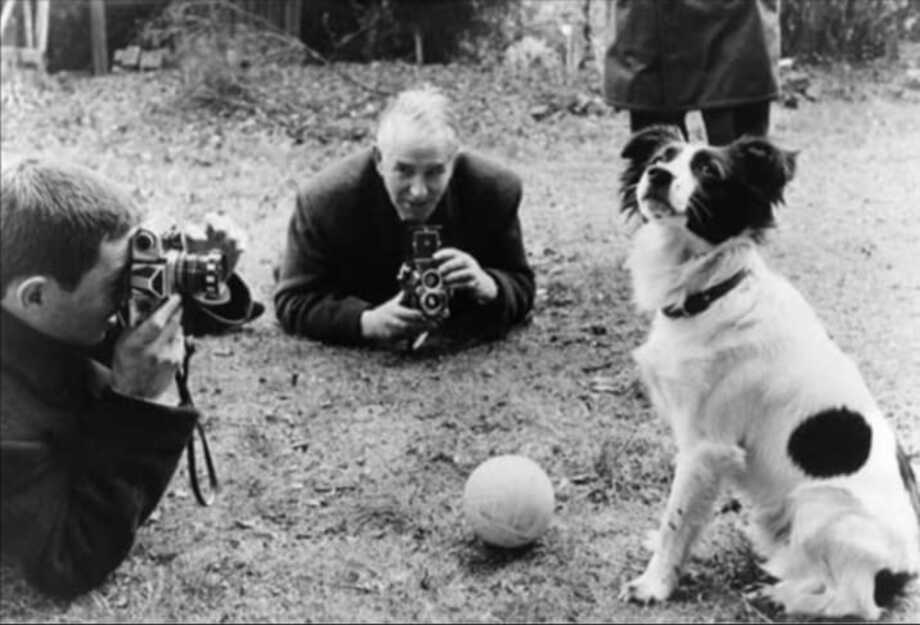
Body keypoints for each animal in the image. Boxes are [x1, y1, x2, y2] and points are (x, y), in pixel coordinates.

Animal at [616, 124, 916, 616]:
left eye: (709, 170)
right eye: (661, 157)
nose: (656, 175)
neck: (711, 294)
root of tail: (906, 566)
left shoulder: (706, 447)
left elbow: (677, 521)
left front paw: (654, 583)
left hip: (819, 504)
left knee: (855, 601)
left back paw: (780, 597)